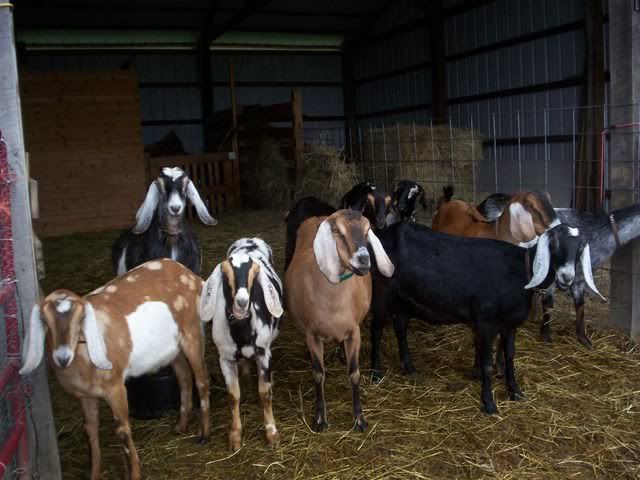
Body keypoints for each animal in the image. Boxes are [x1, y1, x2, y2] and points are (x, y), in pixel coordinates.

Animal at [19, 259, 210, 480]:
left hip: (192, 332)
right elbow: (90, 429)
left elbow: (122, 430)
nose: (62, 357)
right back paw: (181, 425)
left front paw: (134, 472)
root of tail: (190, 275)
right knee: (184, 376)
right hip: (172, 349)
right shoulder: (84, 395)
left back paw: (204, 434)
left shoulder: (115, 386)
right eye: (45, 321)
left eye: (80, 319)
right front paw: (93, 473)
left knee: (201, 380)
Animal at [200, 238, 283, 451]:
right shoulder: (225, 358)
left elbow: (265, 393)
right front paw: (235, 436)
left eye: (255, 274)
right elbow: (233, 396)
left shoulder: (263, 354)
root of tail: (250, 239)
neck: (242, 331)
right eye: (225, 273)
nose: (242, 302)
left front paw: (272, 433)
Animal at [284, 207, 394, 431]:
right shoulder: (312, 335)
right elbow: (318, 374)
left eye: (367, 230)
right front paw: (320, 419)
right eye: (337, 231)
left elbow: (354, 373)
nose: (364, 261)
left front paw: (360, 419)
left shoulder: (354, 332)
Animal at [369, 222, 601, 414]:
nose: (566, 277)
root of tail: (383, 233)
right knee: (377, 330)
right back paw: (376, 373)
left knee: (400, 327)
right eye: (553, 243)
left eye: (580, 247)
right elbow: (488, 363)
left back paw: (409, 367)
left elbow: (509, 356)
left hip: (404, 299)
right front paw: (489, 404)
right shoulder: (485, 322)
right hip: (382, 292)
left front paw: (515, 392)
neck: (522, 271)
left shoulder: (509, 325)